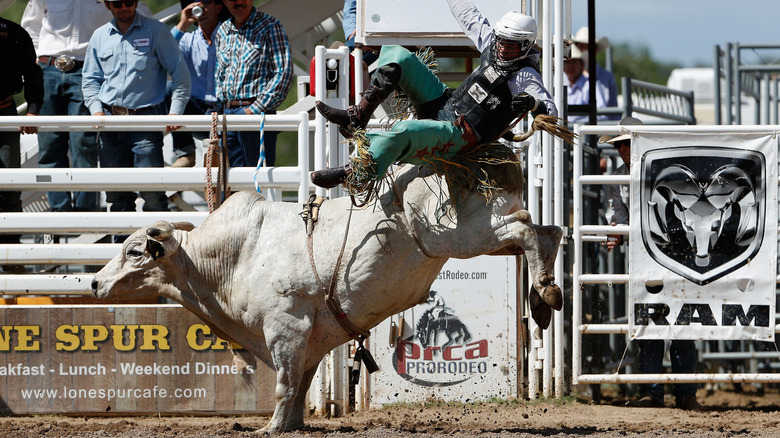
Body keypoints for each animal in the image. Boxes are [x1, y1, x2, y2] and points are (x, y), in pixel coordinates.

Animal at [91, 148, 563, 433]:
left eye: (135, 251)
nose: (95, 282)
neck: (231, 259)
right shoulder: (314, 338)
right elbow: (300, 384)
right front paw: (291, 426)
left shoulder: (285, 327)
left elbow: (284, 384)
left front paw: (270, 427)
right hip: (482, 231)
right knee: (549, 230)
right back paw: (543, 298)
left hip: (456, 235)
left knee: (524, 227)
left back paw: (545, 293)